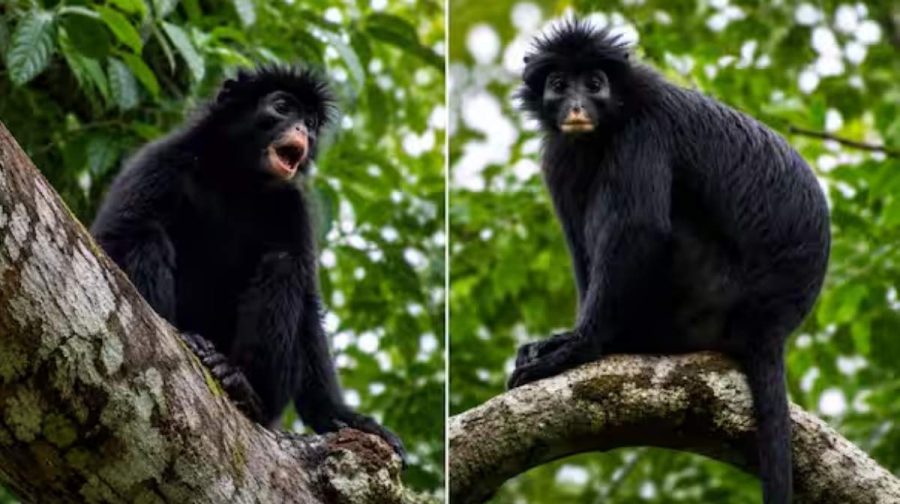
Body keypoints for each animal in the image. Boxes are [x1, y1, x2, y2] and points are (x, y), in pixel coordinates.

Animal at [91, 65, 405, 461]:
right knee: (146, 233)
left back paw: (243, 387)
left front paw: (339, 415)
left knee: (283, 264)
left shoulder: (291, 205)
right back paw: (191, 340)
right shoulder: (162, 159)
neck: (236, 179)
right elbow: (113, 235)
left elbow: (308, 305)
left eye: (311, 122)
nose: (302, 131)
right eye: (283, 107)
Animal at [508, 20, 829, 503]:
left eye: (595, 83)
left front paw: (579, 346)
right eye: (560, 85)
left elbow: (640, 227)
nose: (578, 106)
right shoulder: (561, 156)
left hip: (704, 292)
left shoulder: (643, 131)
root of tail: (770, 323)